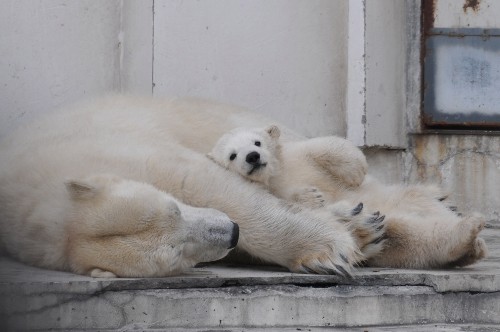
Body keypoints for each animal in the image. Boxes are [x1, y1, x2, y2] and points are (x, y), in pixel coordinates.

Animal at [0, 96, 484, 278]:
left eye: (174, 207)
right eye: (179, 255)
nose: (229, 233)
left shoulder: (124, 148)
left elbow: (211, 184)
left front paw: (329, 249)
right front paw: (349, 238)